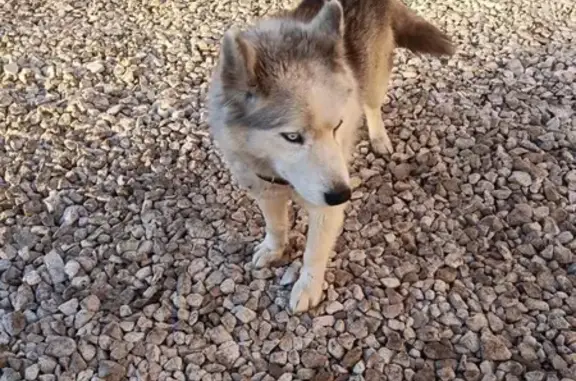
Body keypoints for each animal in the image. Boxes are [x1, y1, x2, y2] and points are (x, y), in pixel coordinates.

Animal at [207, 0, 454, 312]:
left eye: (337, 125)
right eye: (292, 137)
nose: (342, 195)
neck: (282, 177)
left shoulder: (326, 208)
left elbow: (314, 251)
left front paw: (308, 285)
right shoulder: (264, 188)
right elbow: (276, 225)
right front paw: (274, 248)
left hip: (373, 80)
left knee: (372, 105)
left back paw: (378, 137)